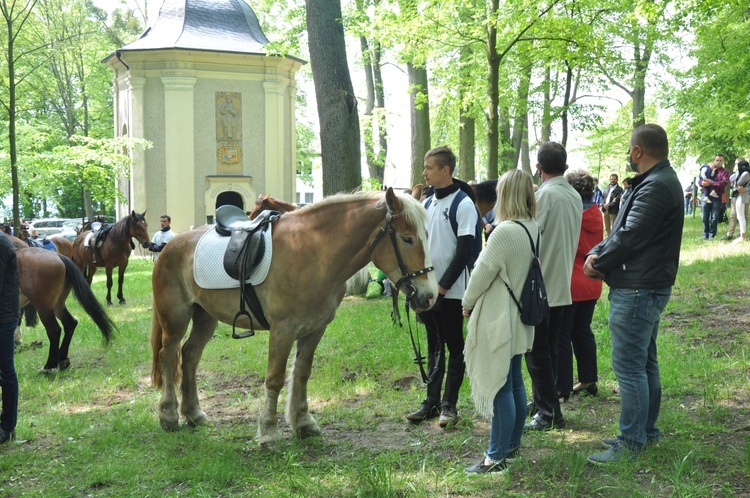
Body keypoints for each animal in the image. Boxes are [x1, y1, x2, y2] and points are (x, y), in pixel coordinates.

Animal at [7, 238, 115, 374]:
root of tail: (59, 256)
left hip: (44, 307)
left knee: (54, 330)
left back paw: (49, 365)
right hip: (57, 305)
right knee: (70, 323)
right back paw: (62, 359)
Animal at [150, 189, 438, 450]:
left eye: (427, 236)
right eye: (407, 238)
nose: (430, 296)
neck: (314, 252)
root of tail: (170, 246)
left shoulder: (315, 329)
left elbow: (302, 373)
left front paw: (303, 422)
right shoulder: (283, 330)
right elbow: (275, 378)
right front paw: (268, 433)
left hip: (204, 318)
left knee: (189, 355)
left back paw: (194, 414)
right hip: (175, 319)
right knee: (168, 355)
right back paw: (169, 416)